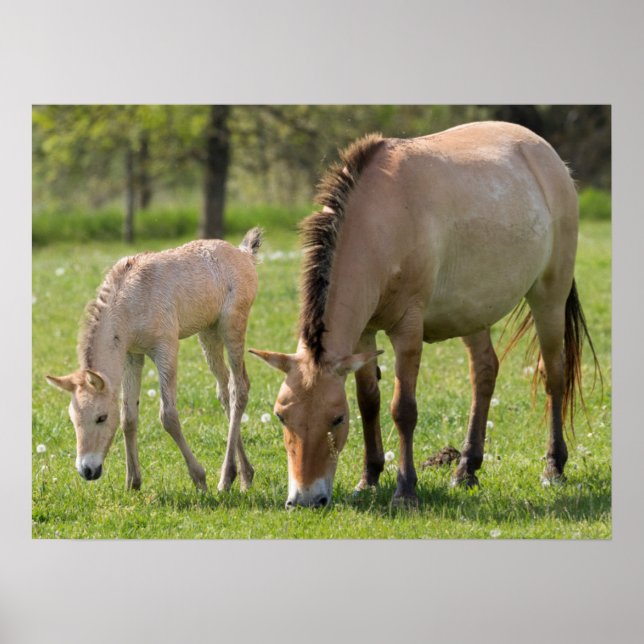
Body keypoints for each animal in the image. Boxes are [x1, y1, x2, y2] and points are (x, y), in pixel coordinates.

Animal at [46, 227, 262, 493]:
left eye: (101, 417)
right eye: (72, 419)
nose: (87, 470)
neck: (131, 301)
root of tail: (244, 255)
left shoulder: (165, 349)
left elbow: (168, 416)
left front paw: (199, 478)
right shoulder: (132, 356)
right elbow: (128, 416)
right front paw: (132, 482)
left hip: (232, 326)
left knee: (239, 389)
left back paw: (225, 478)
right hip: (208, 333)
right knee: (225, 392)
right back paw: (243, 476)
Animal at [250, 121, 598, 508]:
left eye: (337, 419)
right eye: (282, 416)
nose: (305, 499)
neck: (379, 220)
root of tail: (547, 155)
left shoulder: (407, 330)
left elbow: (403, 409)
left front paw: (405, 491)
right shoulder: (363, 335)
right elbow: (369, 402)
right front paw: (368, 479)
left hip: (549, 297)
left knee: (554, 375)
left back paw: (554, 467)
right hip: (471, 311)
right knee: (485, 373)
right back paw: (466, 469)